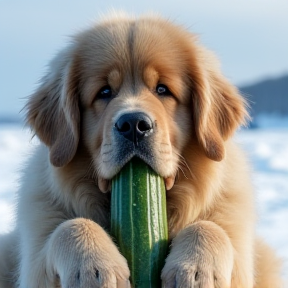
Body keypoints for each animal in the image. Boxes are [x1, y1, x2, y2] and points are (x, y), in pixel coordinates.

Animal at [0, 12, 284, 286]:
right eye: (104, 92)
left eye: (162, 89)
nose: (134, 125)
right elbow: (71, 225)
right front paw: (94, 267)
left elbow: (209, 227)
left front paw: (195, 271)